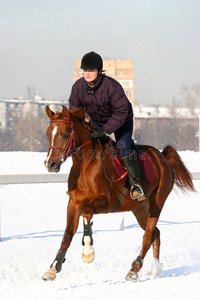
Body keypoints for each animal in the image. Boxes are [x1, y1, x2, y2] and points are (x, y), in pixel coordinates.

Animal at [42, 105, 195, 282]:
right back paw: (155, 269)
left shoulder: (106, 202)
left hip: (157, 202)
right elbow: (67, 234)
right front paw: (53, 268)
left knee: (148, 236)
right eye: (48, 133)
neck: (86, 164)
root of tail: (162, 157)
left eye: (65, 134)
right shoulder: (74, 203)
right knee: (155, 234)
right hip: (140, 208)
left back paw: (134, 269)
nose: (50, 164)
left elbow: (87, 212)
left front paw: (88, 252)